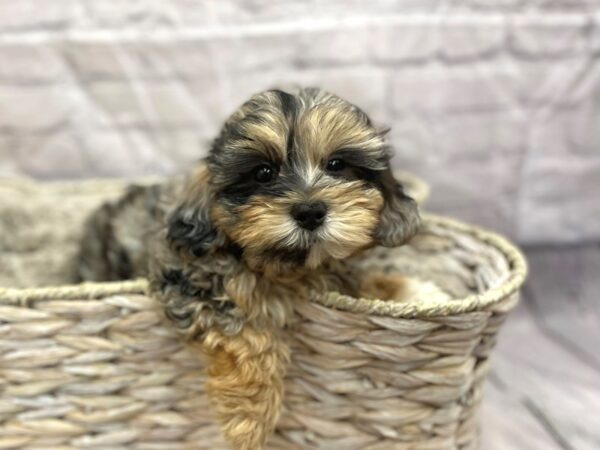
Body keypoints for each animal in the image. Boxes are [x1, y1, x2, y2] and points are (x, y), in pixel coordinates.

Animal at [76, 88, 422, 450]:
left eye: (337, 165)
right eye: (263, 173)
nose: (310, 211)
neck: (285, 266)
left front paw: (409, 289)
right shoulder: (188, 278)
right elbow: (250, 335)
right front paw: (250, 421)